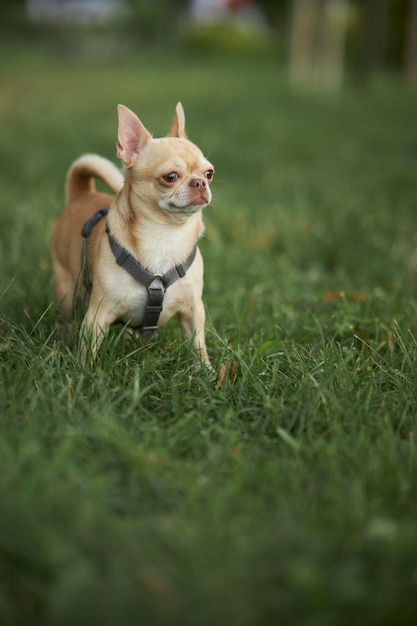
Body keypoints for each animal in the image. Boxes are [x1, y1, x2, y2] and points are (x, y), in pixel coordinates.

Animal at [50, 102, 214, 366]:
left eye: (209, 173)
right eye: (170, 177)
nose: (200, 183)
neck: (165, 237)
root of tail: (82, 194)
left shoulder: (193, 312)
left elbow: (198, 346)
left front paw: (206, 371)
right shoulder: (97, 316)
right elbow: (88, 350)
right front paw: (83, 372)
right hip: (65, 289)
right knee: (66, 313)